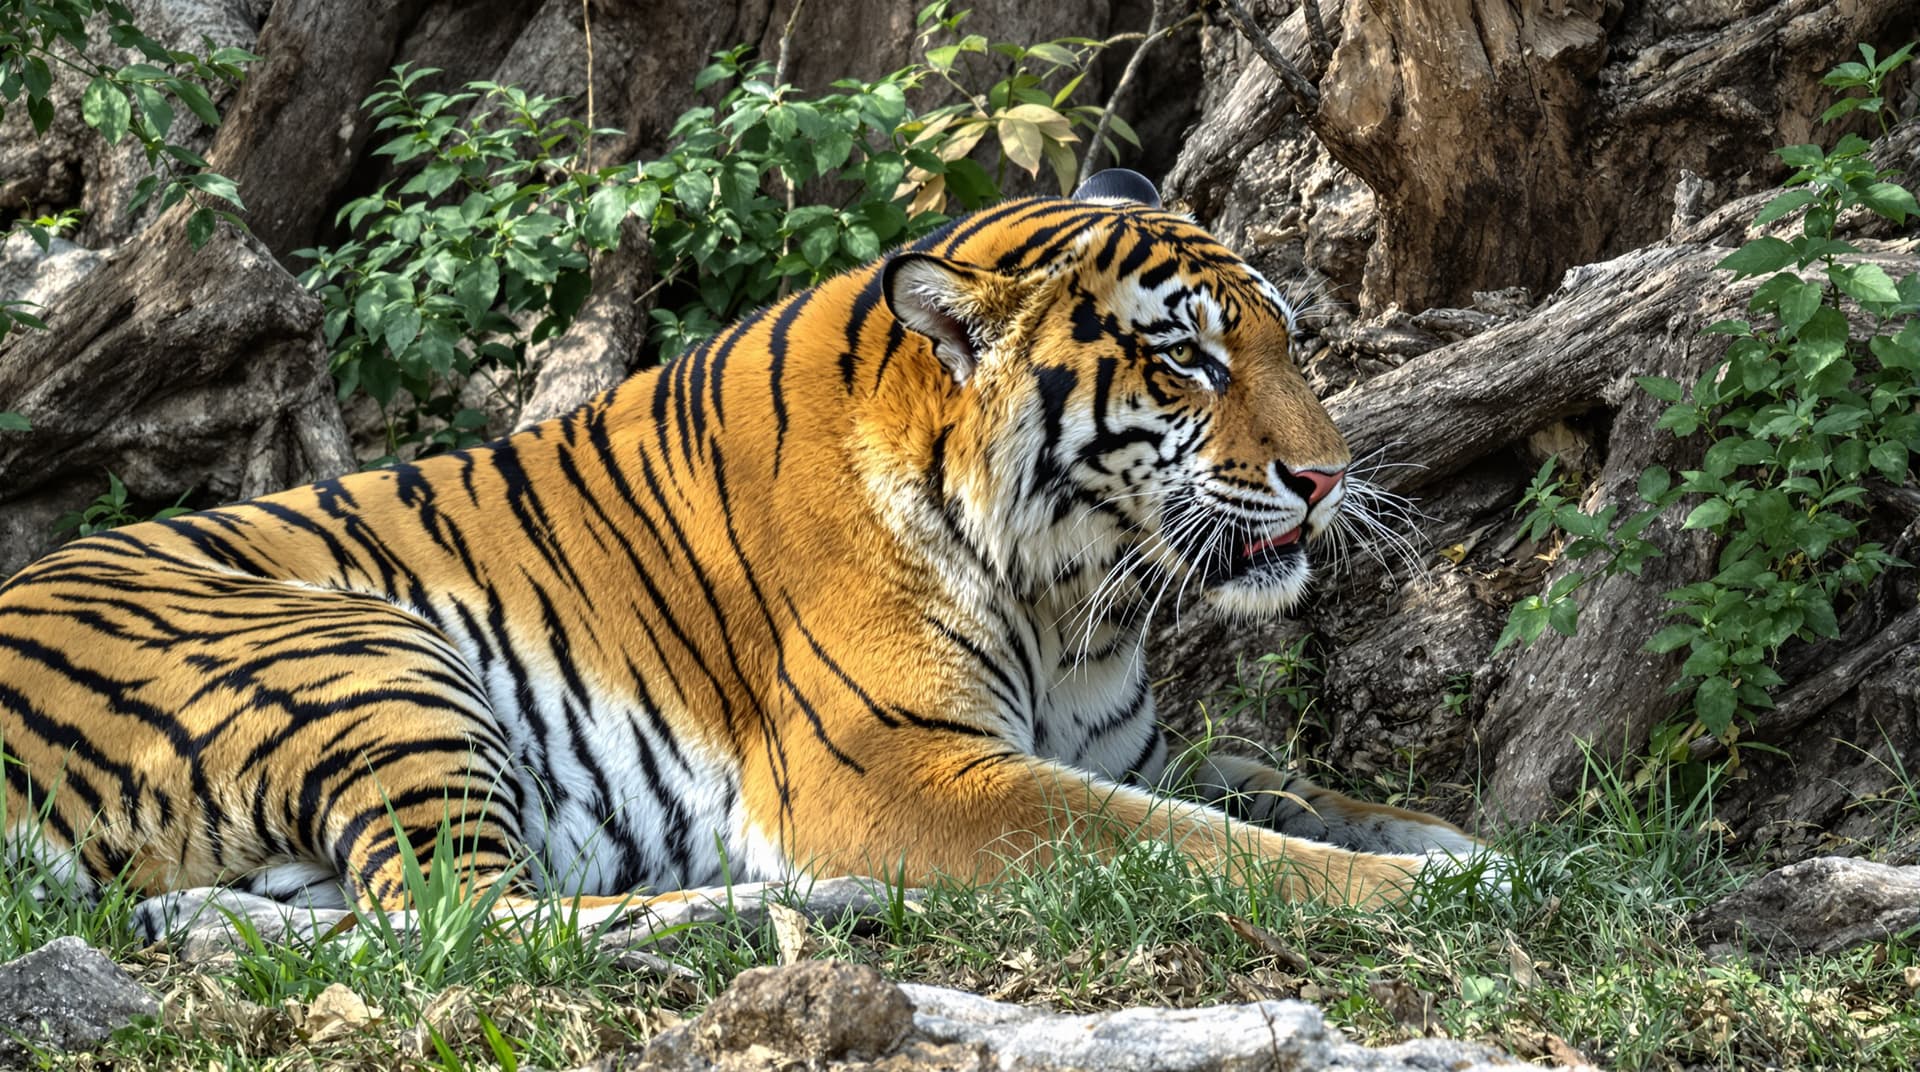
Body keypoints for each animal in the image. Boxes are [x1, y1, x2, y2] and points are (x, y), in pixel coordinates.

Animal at [0, 169, 1490, 928]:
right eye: (1188, 360)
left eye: (1285, 338)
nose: (1330, 475)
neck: (1071, 596)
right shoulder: (905, 766)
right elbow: (1184, 842)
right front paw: (1417, 889)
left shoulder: (1119, 745)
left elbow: (1264, 784)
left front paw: (1454, 842)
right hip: (363, 652)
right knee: (466, 920)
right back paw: (790, 907)